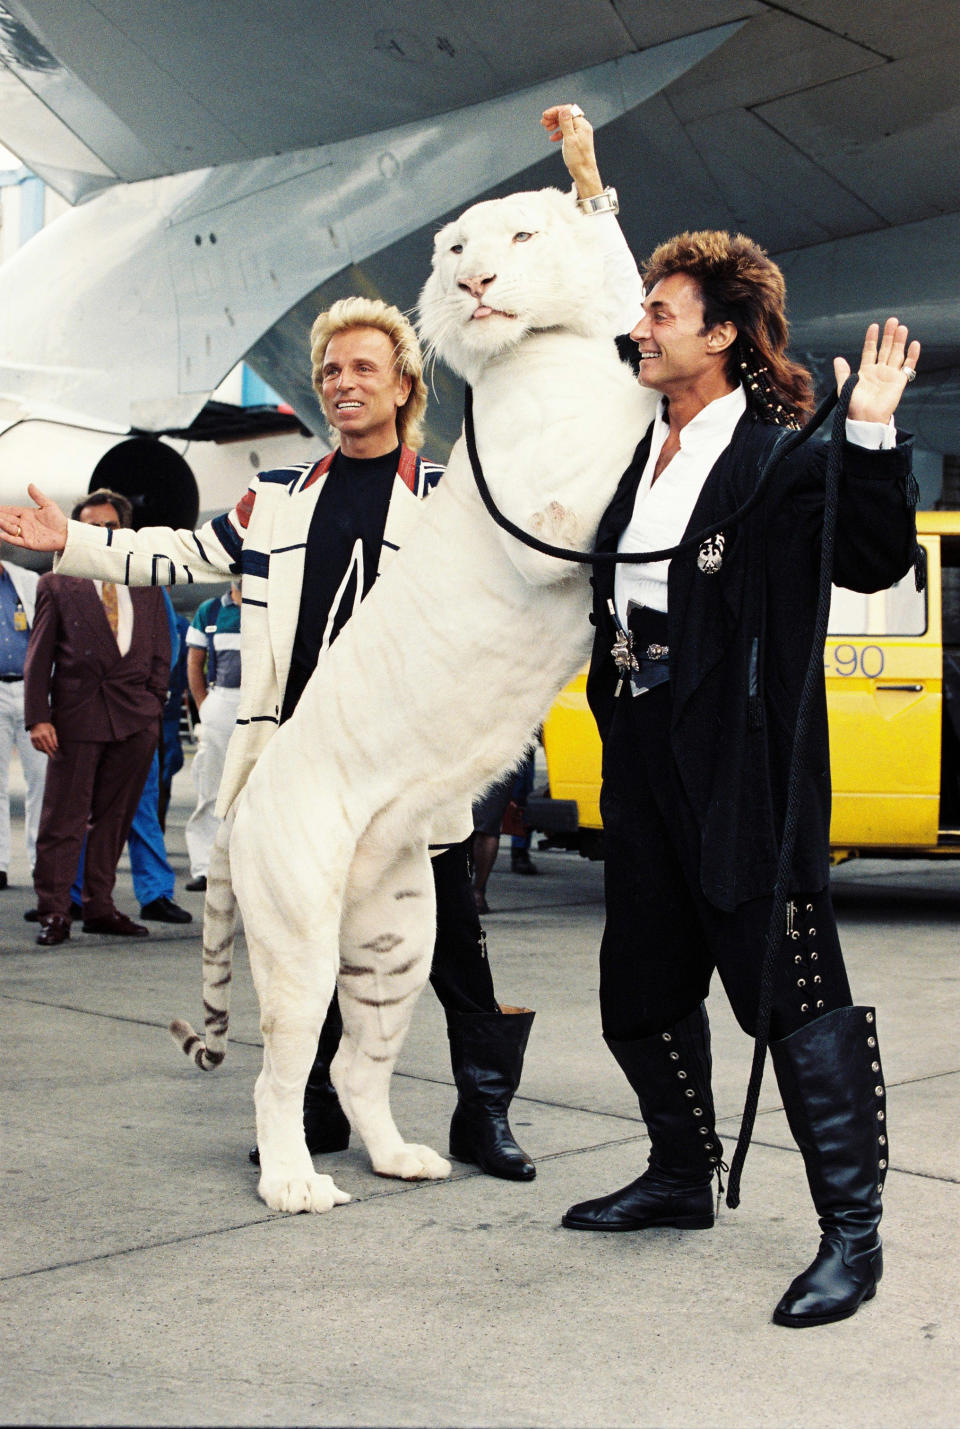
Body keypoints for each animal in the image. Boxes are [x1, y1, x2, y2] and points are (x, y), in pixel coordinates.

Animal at [180, 184, 657, 1211]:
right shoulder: (554, 515)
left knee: (357, 1063)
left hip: (399, 934)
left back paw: (405, 1156)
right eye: (454, 248)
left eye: (520, 234)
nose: (476, 283)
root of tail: (244, 805)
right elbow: (644, 426)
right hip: (301, 932)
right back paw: (294, 1184)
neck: (548, 342)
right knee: (281, 1071)